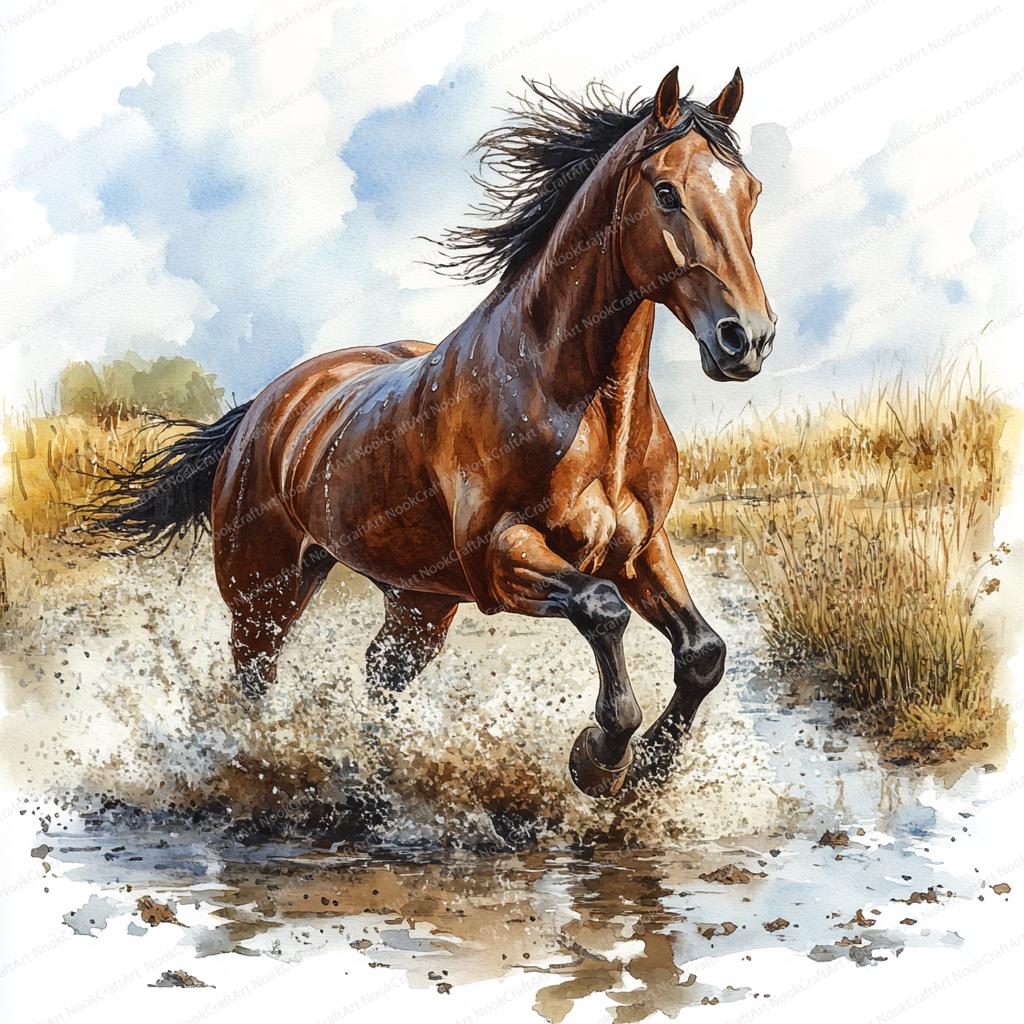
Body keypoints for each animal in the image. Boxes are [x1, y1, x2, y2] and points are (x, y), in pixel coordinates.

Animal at [92, 67, 775, 798]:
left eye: (752, 191)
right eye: (667, 191)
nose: (746, 339)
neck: (588, 412)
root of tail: (262, 410)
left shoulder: (640, 548)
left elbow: (703, 651)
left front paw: (650, 767)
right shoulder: (500, 557)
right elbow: (602, 609)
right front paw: (601, 757)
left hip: (418, 602)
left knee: (379, 676)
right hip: (263, 592)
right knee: (254, 680)